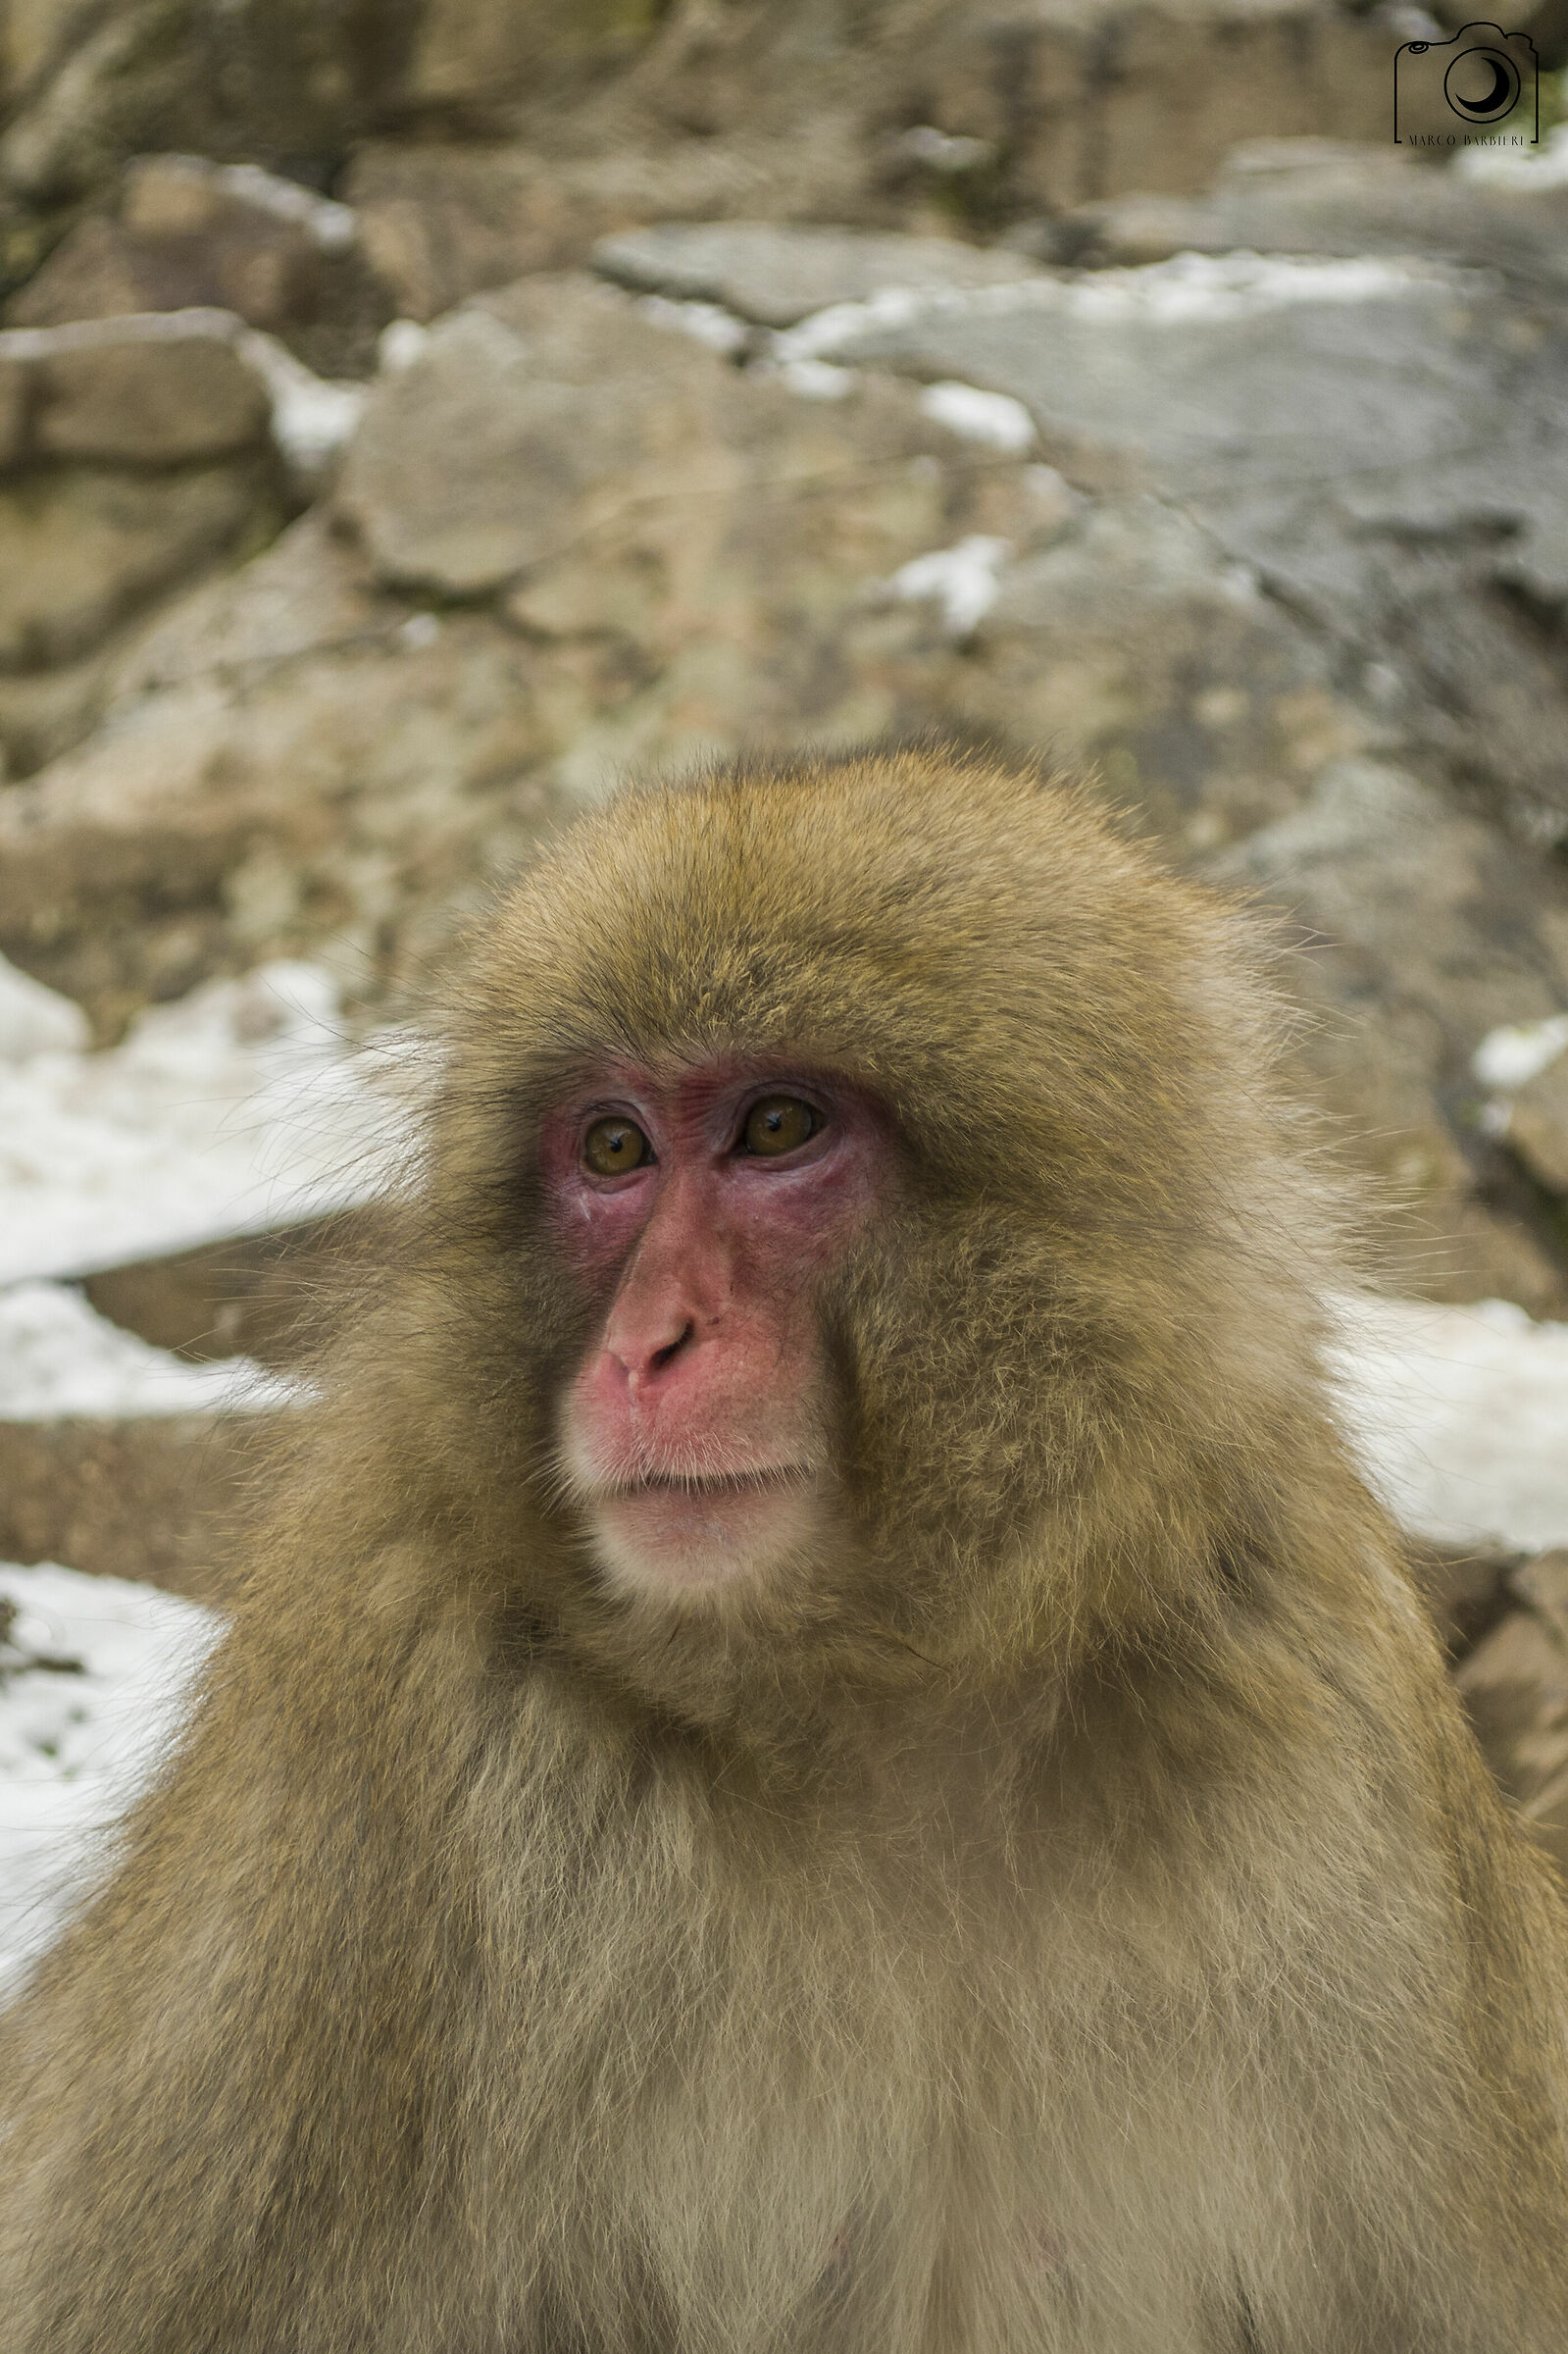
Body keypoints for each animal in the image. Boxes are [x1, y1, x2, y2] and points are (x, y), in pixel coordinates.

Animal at [1, 742, 1566, 2354]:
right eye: (613, 1149)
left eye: (775, 1129)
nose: (646, 1343)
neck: (878, 1713)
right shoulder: (375, 1768)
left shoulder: (1317, 1711)